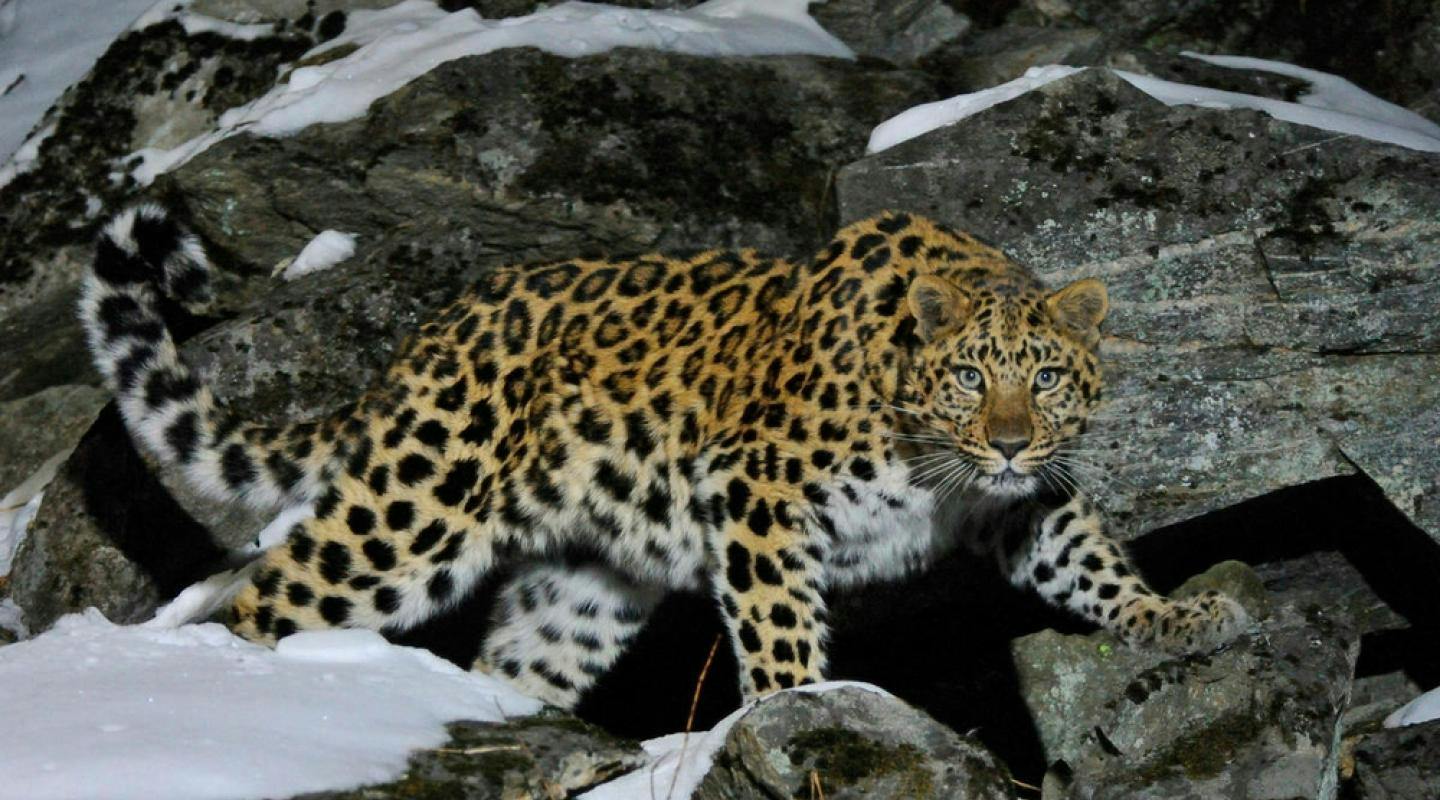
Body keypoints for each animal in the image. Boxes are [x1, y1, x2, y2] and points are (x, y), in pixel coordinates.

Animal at [80, 205, 1250, 709]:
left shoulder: (1022, 504)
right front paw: (798, 707)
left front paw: (1181, 616)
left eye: (1044, 379)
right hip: (412, 515)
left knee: (515, 664)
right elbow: (779, 627)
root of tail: (422, 341)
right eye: (969, 375)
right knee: (264, 592)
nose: (1006, 438)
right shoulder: (757, 489)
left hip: (582, 587)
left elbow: (1090, 562)